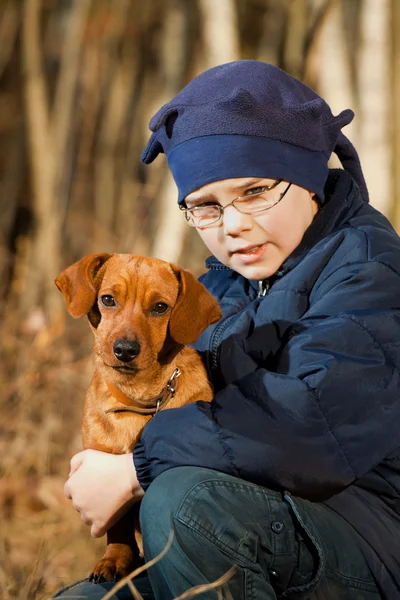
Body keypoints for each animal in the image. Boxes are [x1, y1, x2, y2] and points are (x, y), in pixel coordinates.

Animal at [54, 252, 220, 580]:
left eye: (160, 307)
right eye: (107, 299)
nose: (125, 349)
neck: (138, 398)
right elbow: (117, 524)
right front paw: (115, 558)